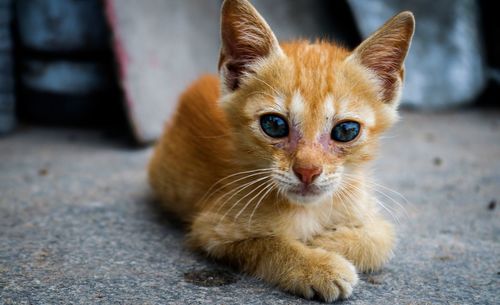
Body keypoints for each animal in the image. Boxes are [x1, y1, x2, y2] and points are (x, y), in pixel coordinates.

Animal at [147, 0, 414, 300]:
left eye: (346, 131)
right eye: (274, 125)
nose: (307, 171)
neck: (309, 210)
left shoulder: (366, 206)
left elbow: (382, 237)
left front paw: (327, 241)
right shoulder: (212, 228)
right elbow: (268, 243)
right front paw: (316, 265)